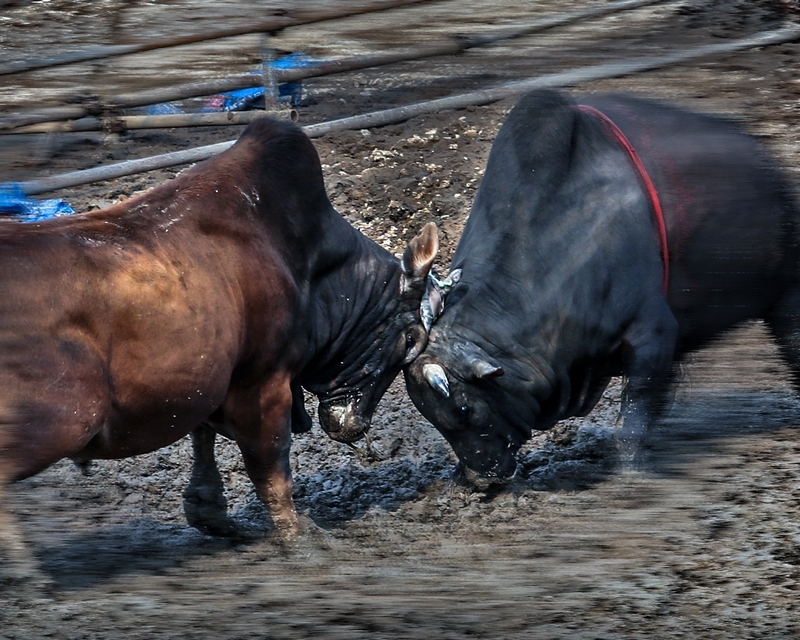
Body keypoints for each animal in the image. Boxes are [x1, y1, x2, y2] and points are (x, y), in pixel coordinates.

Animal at [0, 116, 438, 580]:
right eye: (410, 340)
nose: (356, 425)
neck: (303, 262)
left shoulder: (209, 378)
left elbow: (204, 440)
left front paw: (214, 516)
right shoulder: (263, 382)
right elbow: (271, 467)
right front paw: (300, 540)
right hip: (65, 417)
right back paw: (27, 576)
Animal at [406, 90, 800, 488]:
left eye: (465, 407)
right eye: (433, 419)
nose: (479, 477)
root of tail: (769, 168)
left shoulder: (652, 335)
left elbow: (632, 423)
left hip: (786, 297)